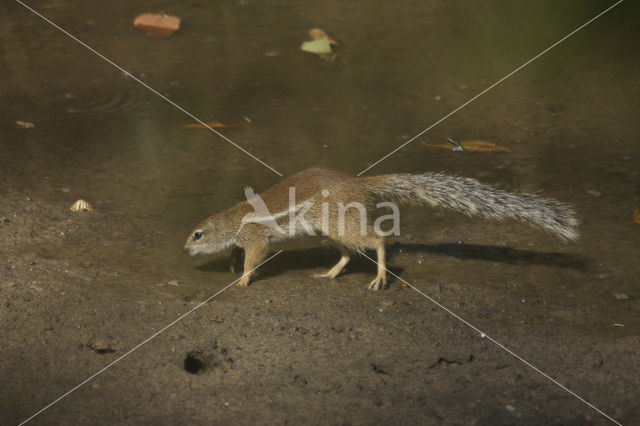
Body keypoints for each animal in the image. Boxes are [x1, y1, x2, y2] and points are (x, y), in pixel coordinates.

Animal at [182, 168, 576, 292]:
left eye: (197, 234)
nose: (184, 251)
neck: (231, 218)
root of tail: (356, 184)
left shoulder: (256, 238)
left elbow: (256, 257)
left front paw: (243, 278)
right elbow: (240, 252)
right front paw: (232, 263)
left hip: (341, 224)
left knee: (379, 240)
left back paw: (381, 276)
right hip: (333, 230)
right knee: (347, 252)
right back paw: (330, 273)